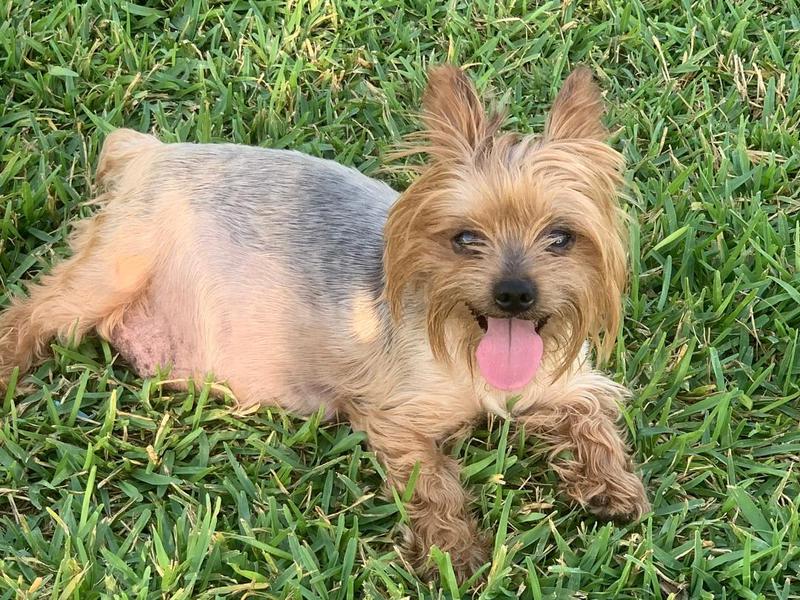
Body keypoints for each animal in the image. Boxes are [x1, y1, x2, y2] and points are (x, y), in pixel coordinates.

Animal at [0, 64, 648, 576]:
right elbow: (433, 481)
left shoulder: (564, 381)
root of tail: (152, 152)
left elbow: (591, 415)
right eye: (466, 238)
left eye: (561, 237)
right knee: (32, 313)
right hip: (114, 267)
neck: (468, 340)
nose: (514, 293)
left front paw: (611, 485)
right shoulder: (394, 415)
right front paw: (453, 550)